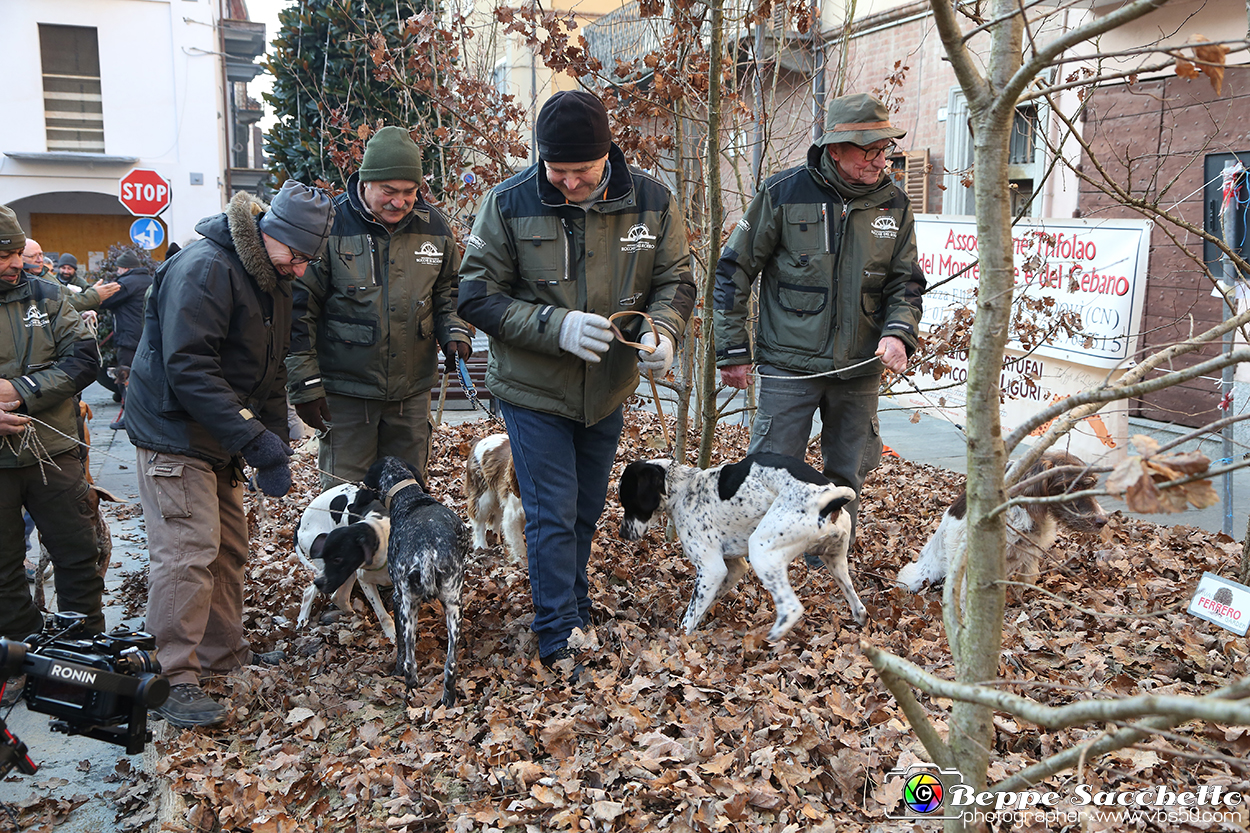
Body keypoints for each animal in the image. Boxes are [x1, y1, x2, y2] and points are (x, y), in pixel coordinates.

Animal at [295, 482, 392, 637]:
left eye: (338, 559)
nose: (319, 582)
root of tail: (300, 521)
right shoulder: (365, 581)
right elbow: (383, 615)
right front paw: (392, 635)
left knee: (337, 596)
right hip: (340, 574)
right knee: (314, 592)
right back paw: (302, 619)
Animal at [370, 457, 472, 705]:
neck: (412, 499)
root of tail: (427, 552)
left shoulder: (397, 599)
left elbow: (399, 647)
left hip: (407, 608)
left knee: (409, 664)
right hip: (454, 608)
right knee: (450, 664)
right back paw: (448, 699)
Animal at [470, 430, 527, 560]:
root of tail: (479, 440)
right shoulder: (512, 516)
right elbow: (519, 548)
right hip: (483, 496)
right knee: (479, 521)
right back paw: (482, 546)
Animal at [615, 450, 870, 637]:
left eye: (629, 501)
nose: (622, 533)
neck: (685, 488)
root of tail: (828, 499)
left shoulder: (711, 569)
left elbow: (691, 614)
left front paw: (680, 639)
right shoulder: (734, 567)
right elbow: (707, 602)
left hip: (762, 550)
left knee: (791, 608)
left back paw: (773, 637)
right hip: (834, 560)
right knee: (858, 605)